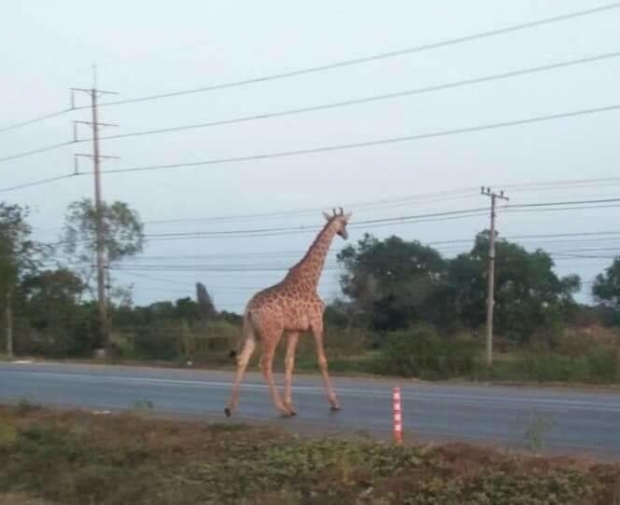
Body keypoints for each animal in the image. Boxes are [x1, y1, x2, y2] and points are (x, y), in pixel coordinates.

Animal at [224, 207, 352, 416]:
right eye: (344, 223)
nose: (346, 234)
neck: (311, 280)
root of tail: (249, 310)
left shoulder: (294, 330)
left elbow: (289, 363)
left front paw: (291, 403)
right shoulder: (317, 322)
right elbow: (322, 360)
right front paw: (334, 403)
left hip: (252, 332)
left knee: (242, 359)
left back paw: (230, 407)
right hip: (272, 333)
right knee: (264, 363)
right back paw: (280, 408)